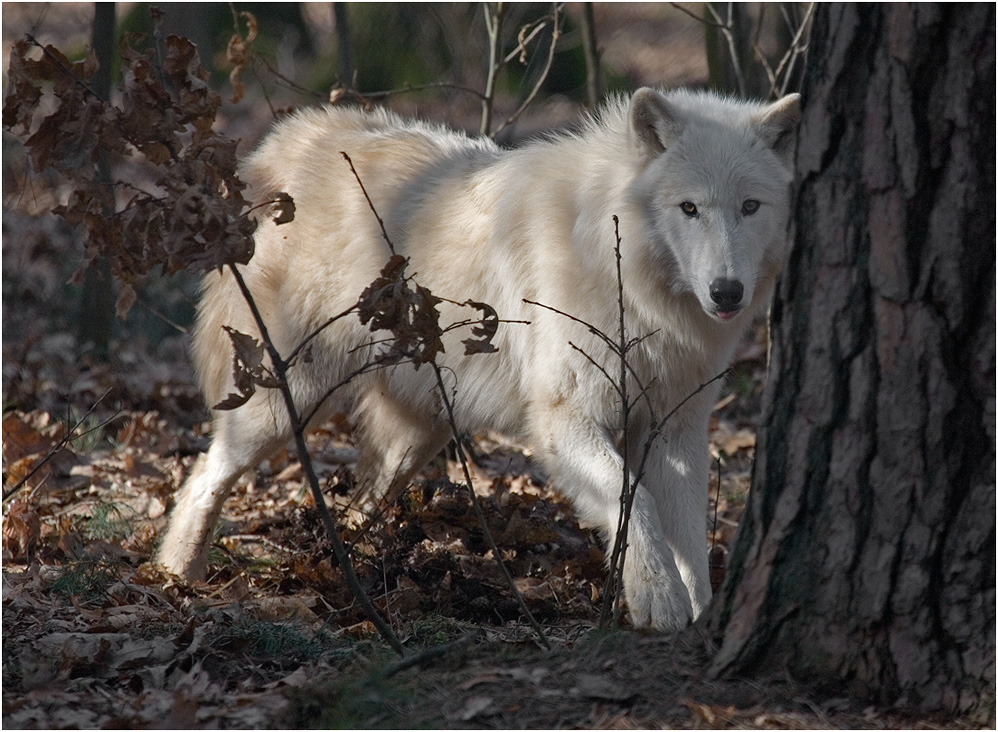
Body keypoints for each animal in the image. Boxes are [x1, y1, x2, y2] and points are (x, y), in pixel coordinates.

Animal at [160, 88, 800, 632]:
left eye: (750, 206)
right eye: (689, 208)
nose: (727, 292)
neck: (627, 276)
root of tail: (298, 135)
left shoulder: (677, 429)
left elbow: (687, 532)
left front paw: (704, 612)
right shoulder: (564, 420)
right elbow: (631, 501)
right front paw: (658, 600)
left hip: (416, 438)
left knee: (360, 504)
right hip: (285, 404)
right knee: (203, 478)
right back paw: (175, 575)